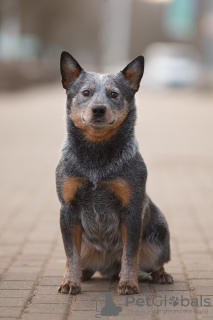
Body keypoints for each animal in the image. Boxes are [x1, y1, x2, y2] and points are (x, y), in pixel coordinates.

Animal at [55, 52, 173, 296]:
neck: (97, 157)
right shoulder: (68, 209)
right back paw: (83, 274)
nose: (99, 109)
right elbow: (71, 254)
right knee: (84, 262)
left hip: (160, 236)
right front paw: (70, 281)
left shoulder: (132, 209)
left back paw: (160, 275)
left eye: (114, 94)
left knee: (154, 262)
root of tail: (108, 267)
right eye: (86, 92)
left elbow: (130, 253)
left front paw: (128, 283)